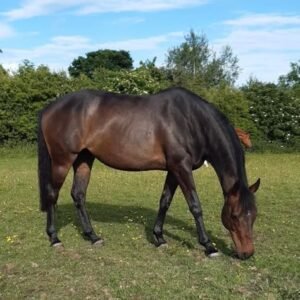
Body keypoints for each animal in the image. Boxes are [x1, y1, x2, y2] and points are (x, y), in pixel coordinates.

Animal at [38, 87, 260, 260]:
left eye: (254, 215)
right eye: (234, 215)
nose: (247, 253)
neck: (191, 120)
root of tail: (50, 108)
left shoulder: (174, 170)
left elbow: (165, 202)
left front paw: (159, 238)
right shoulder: (181, 167)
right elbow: (195, 206)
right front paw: (209, 246)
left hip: (84, 158)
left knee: (78, 195)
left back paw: (93, 236)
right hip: (62, 160)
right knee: (52, 194)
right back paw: (54, 238)